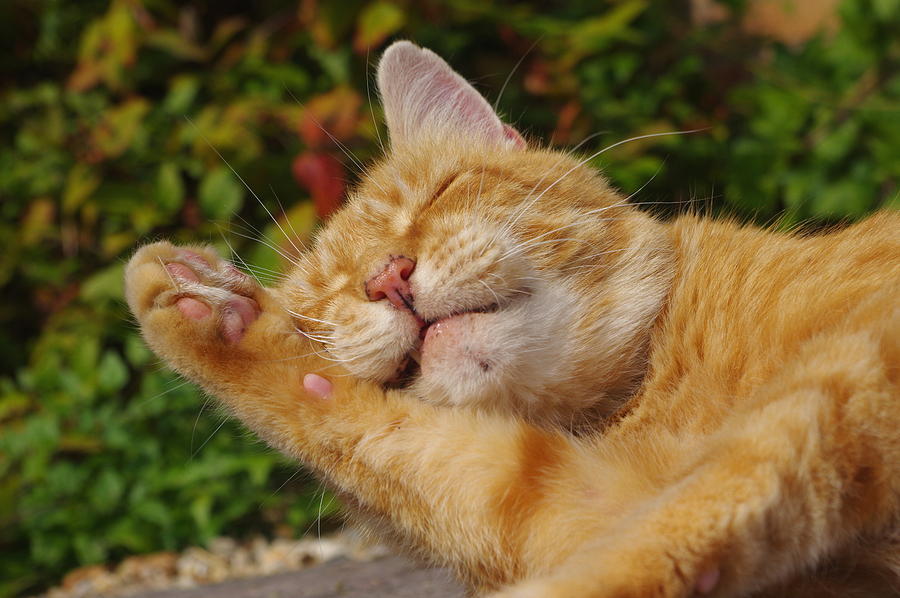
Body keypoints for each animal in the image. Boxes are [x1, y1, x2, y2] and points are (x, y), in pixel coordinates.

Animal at [126, 41, 900, 596]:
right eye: (328, 298)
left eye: (440, 193)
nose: (386, 278)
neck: (646, 399)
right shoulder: (574, 499)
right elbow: (371, 430)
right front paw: (210, 314)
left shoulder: (852, 365)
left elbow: (716, 490)